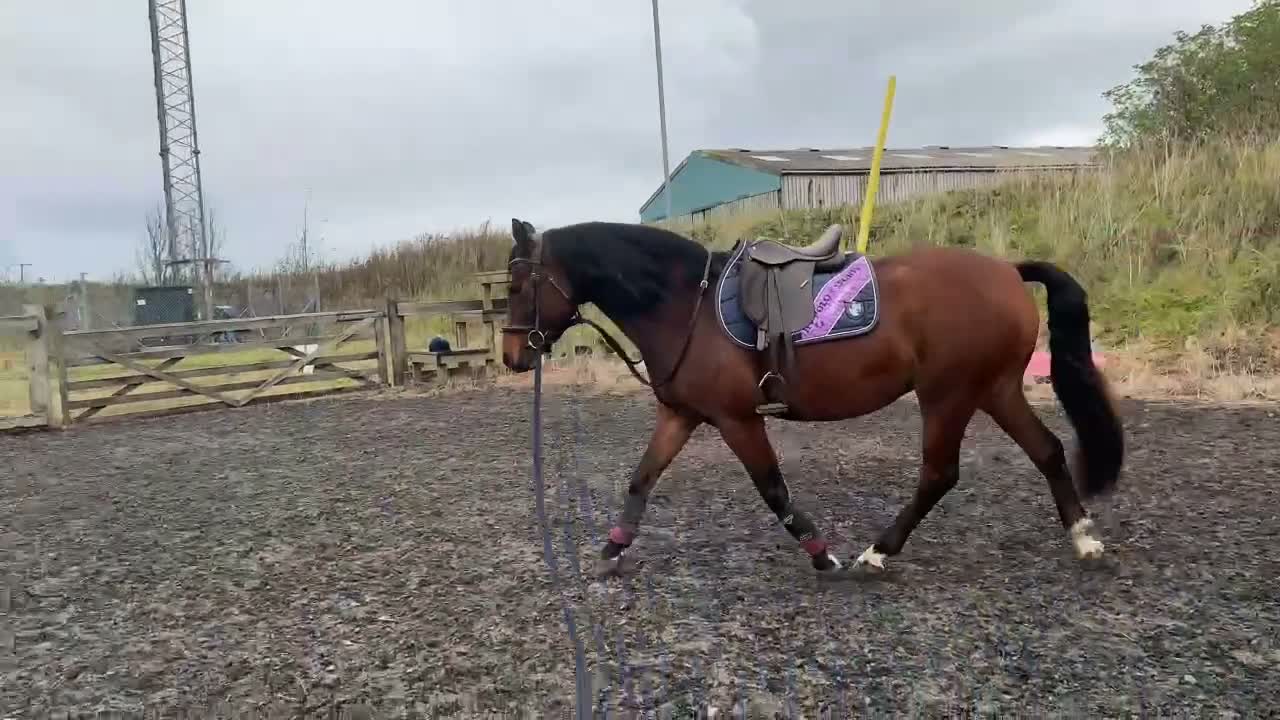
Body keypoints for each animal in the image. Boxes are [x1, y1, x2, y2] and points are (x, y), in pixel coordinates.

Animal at [500, 217, 1124, 576]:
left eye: (518, 284)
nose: (512, 355)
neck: (683, 303)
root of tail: (1007, 272)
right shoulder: (681, 414)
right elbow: (641, 478)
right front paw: (613, 550)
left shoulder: (737, 419)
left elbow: (773, 488)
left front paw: (821, 552)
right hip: (992, 389)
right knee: (1047, 450)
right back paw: (1084, 539)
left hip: (949, 394)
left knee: (940, 473)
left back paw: (878, 552)